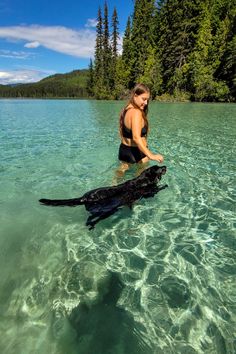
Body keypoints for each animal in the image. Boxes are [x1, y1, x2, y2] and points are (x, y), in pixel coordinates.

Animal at [39, 166, 168, 230]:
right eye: (159, 168)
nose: (165, 166)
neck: (144, 180)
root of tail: (84, 198)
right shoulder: (149, 192)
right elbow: (157, 189)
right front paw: (165, 185)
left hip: (100, 211)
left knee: (90, 217)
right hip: (108, 211)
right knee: (93, 219)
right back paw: (91, 225)